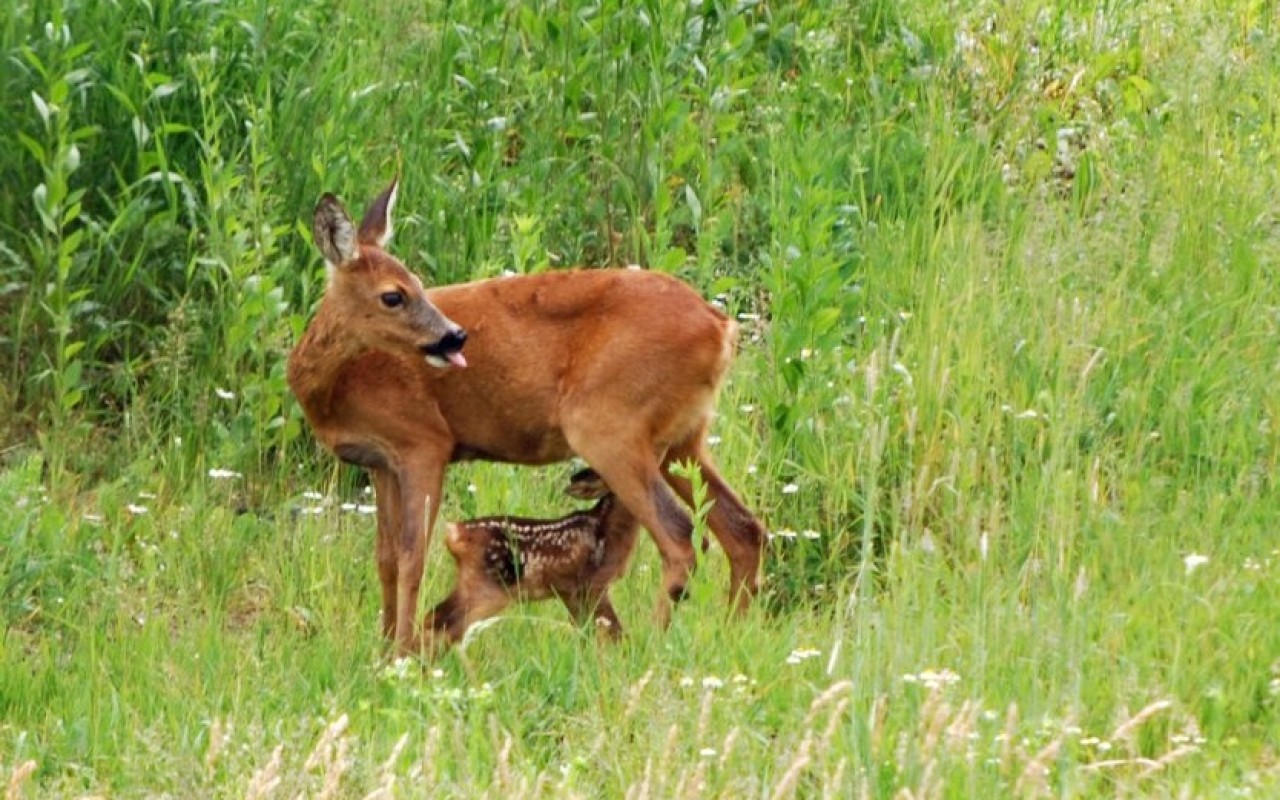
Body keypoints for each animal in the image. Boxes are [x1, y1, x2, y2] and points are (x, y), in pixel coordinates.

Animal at [286, 177, 762, 652]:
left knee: (681, 538)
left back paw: (656, 642)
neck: (337, 388)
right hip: (684, 436)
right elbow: (385, 558)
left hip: (607, 424)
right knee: (744, 529)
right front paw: (383, 649)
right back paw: (731, 633)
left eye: (416, 284)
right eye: (393, 294)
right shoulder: (380, 462)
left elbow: (411, 557)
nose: (455, 336)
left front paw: (400, 652)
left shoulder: (424, 441)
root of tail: (722, 327)